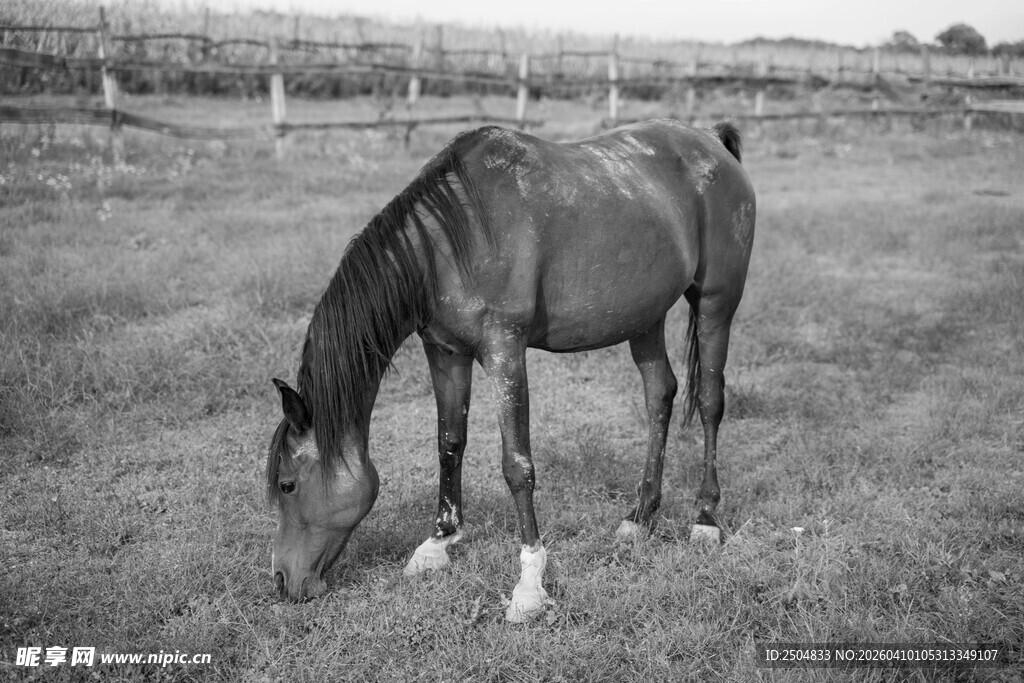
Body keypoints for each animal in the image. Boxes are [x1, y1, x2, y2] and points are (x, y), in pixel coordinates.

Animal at [266, 118, 755, 622]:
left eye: (286, 485)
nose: (283, 580)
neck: (448, 246)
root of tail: (711, 140)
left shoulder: (505, 352)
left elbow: (517, 466)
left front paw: (530, 584)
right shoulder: (446, 353)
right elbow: (449, 444)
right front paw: (437, 544)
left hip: (716, 302)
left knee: (711, 402)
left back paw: (705, 518)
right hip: (646, 317)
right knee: (660, 394)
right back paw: (639, 518)